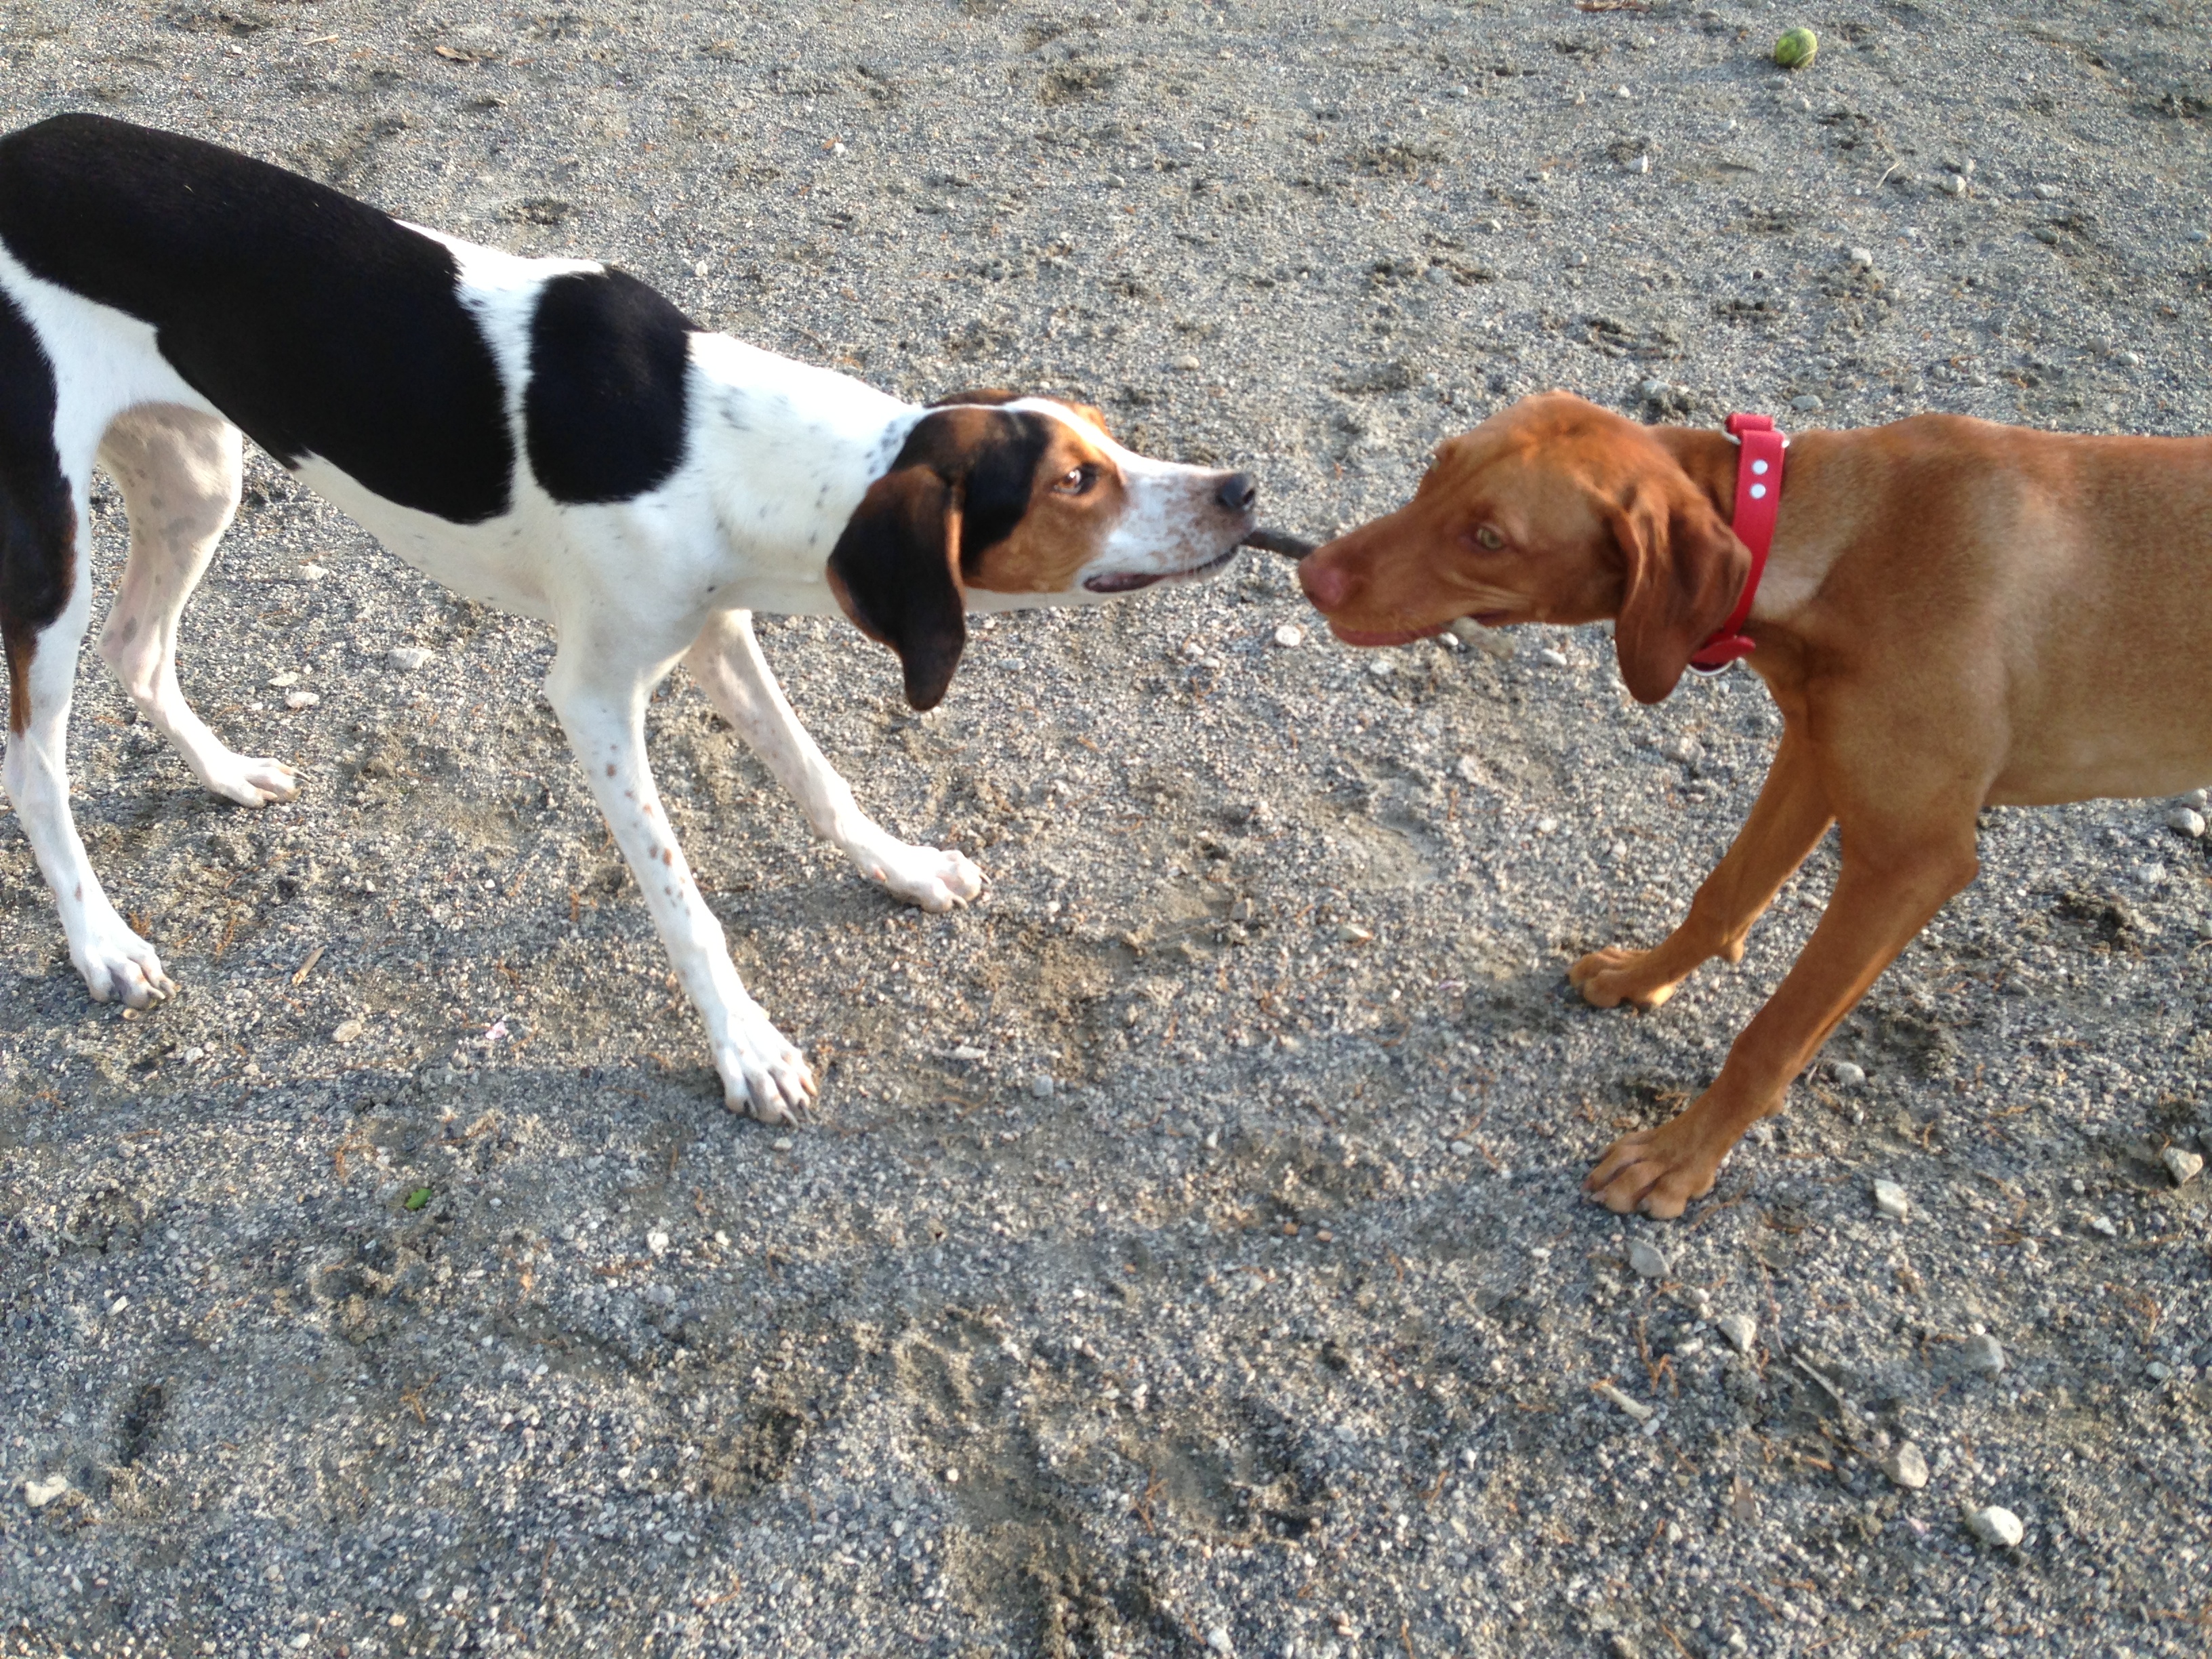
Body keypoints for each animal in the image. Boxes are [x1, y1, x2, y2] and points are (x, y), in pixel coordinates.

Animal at [0, 117, 1265, 1124]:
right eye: (1073, 483)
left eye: (1107, 438)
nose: (1241, 489)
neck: (718, 443)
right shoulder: (596, 699)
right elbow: (682, 898)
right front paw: (747, 1047)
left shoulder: (716, 634)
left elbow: (819, 780)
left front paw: (900, 869)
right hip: (52, 553)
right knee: (36, 759)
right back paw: (102, 943)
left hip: (195, 478)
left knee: (140, 651)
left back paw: (223, 774)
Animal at [1292, 391, 2212, 1221]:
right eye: (1433, 468)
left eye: (1491, 538)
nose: (1311, 572)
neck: (1839, 541)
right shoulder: (1812, 757)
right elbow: (1723, 896)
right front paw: (1642, 977)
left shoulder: (1910, 861)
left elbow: (1771, 1036)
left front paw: (1678, 1158)